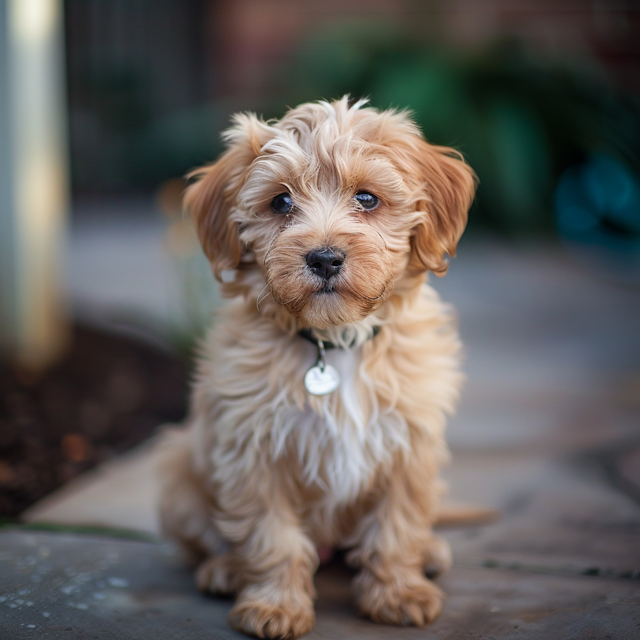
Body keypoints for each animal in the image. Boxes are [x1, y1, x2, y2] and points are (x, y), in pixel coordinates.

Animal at [159, 97, 478, 636]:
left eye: (367, 198)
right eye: (280, 203)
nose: (325, 258)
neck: (335, 343)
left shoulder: (410, 445)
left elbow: (397, 526)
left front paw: (399, 593)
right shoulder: (253, 451)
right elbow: (270, 536)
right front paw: (274, 606)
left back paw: (430, 553)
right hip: (179, 473)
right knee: (212, 537)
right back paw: (225, 569)